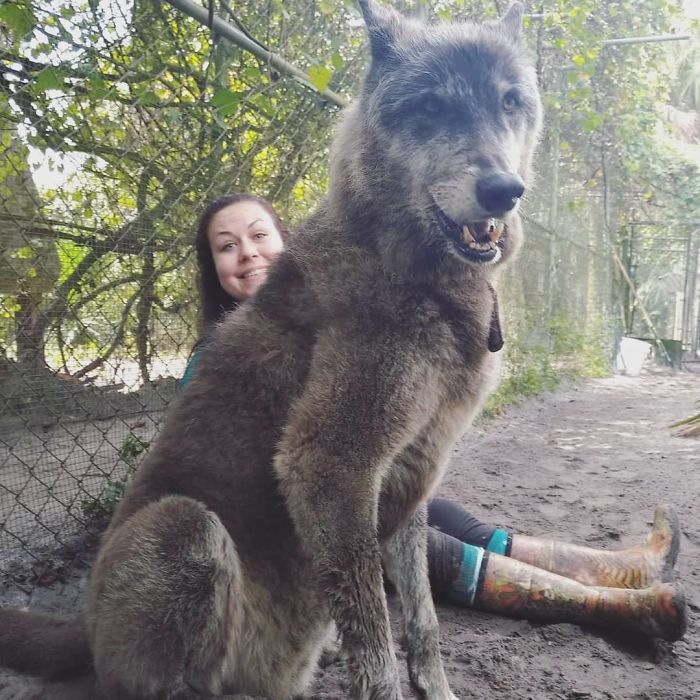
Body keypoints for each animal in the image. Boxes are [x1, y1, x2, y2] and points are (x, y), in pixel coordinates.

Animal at [0, 2, 540, 696]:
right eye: (431, 107)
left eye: (509, 102)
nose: (505, 189)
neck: (403, 262)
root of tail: (86, 631)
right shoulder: (329, 468)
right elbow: (377, 647)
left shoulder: (412, 473)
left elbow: (421, 619)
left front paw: (437, 685)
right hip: (183, 527)